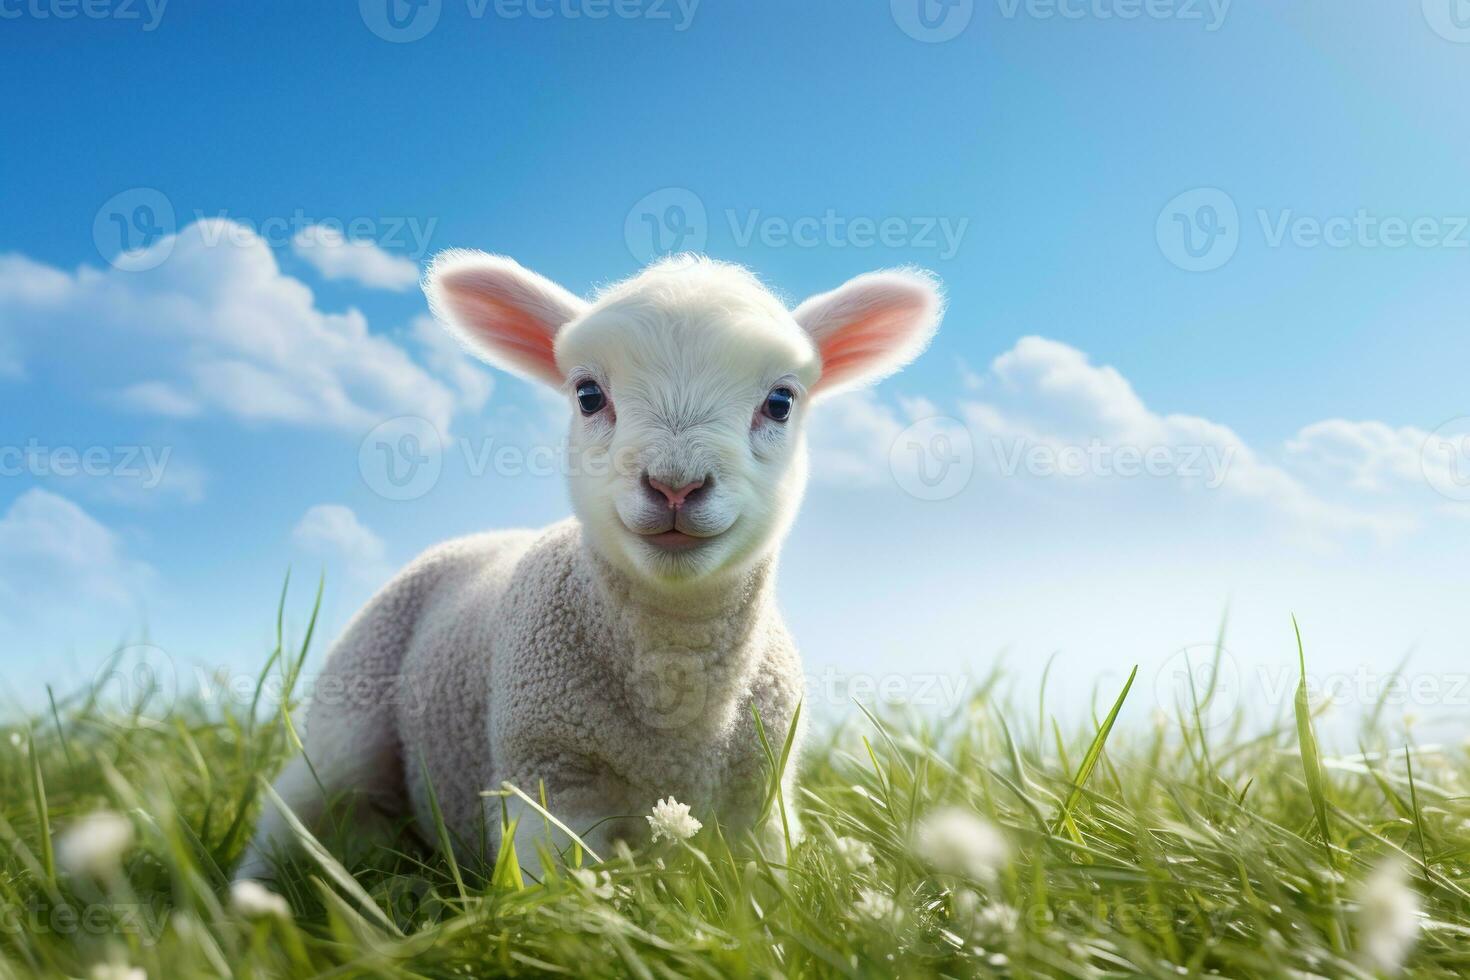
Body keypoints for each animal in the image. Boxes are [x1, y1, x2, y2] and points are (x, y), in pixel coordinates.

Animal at [229, 246, 940, 881]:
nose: (675, 485)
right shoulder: (548, 782)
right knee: (289, 816)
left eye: (781, 402)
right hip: (347, 718)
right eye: (589, 395)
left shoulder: (762, 801)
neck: (674, 687)